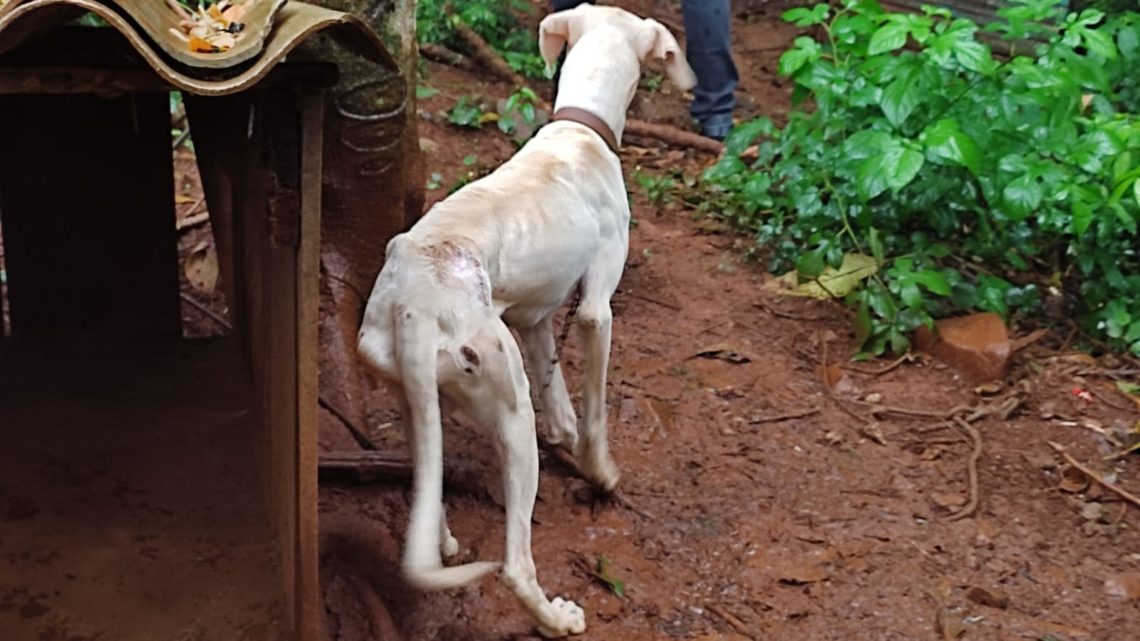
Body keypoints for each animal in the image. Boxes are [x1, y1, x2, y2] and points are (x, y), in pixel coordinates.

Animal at [355, 4, 693, 634]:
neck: (580, 132)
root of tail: (415, 301)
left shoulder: (536, 319)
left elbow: (560, 401)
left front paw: (567, 434)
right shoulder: (594, 310)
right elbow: (594, 414)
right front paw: (600, 471)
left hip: (413, 392)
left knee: (425, 480)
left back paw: (442, 538)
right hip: (510, 411)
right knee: (514, 564)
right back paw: (554, 618)